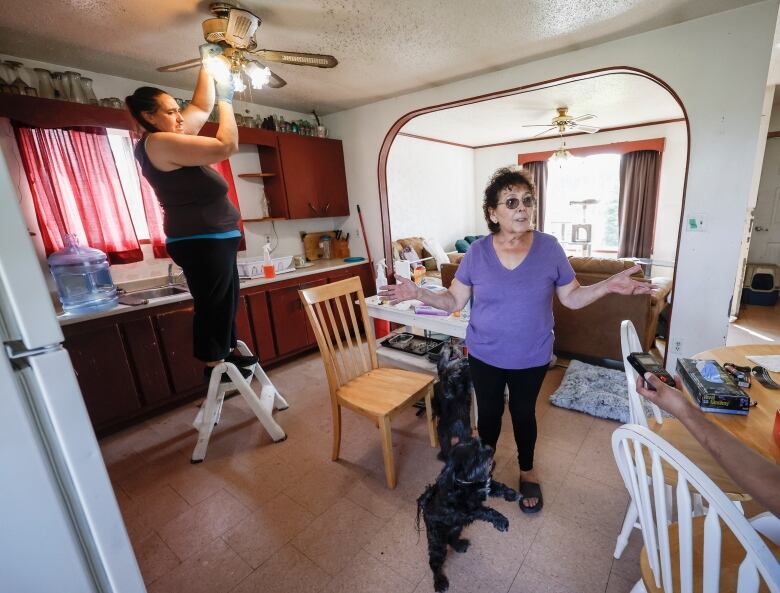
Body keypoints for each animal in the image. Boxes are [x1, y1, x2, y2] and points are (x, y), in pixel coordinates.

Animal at [418, 438, 520, 588]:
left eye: (480, 443)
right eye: (476, 457)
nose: (491, 449)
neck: (469, 483)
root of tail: (425, 505)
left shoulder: (487, 486)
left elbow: (500, 487)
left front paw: (513, 495)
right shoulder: (468, 510)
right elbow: (487, 511)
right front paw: (501, 521)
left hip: (456, 527)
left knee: (451, 539)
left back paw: (460, 545)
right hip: (437, 540)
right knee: (434, 562)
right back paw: (440, 582)